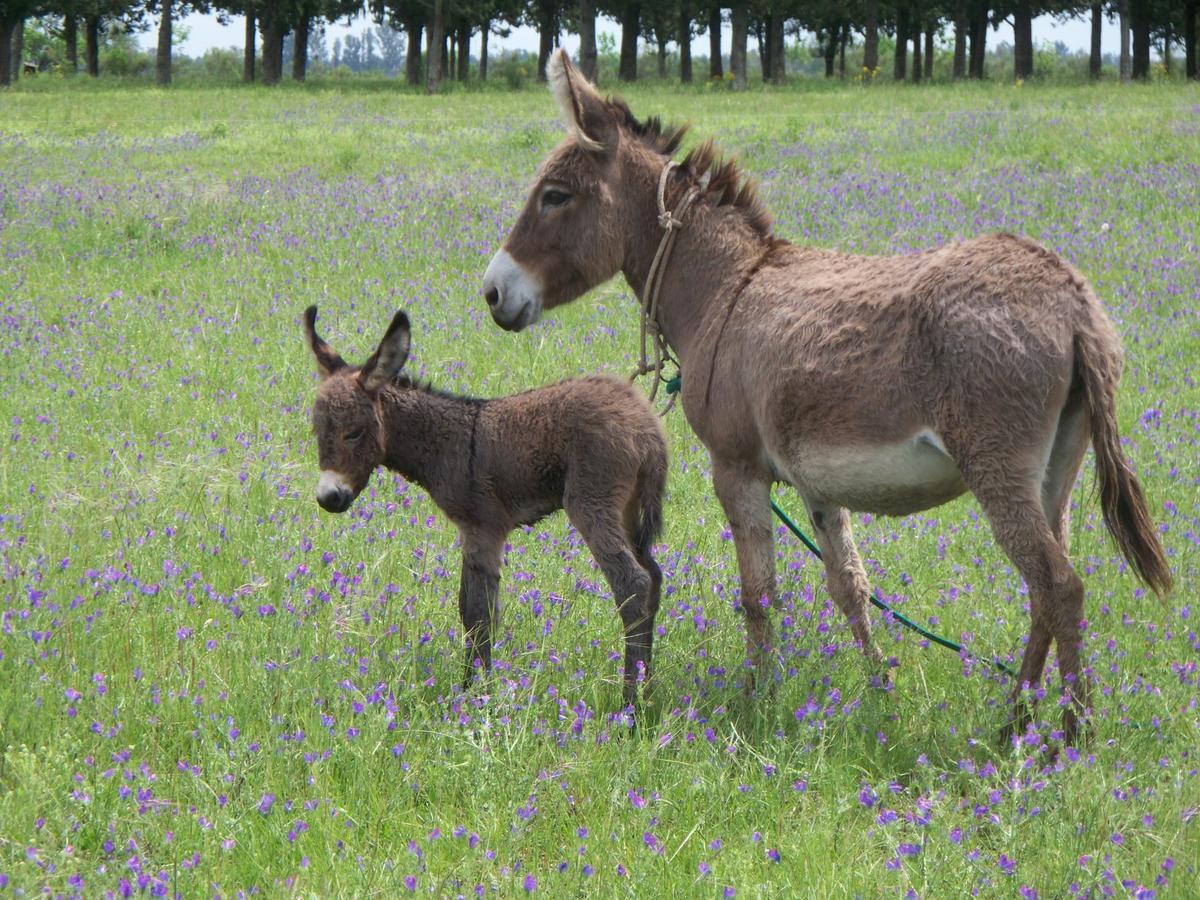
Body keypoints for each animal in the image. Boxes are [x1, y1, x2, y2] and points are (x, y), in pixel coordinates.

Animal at [302, 309, 667, 710]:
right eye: (317, 431)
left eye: (353, 433)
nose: (328, 498)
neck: (446, 441)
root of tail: (644, 424)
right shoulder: (476, 532)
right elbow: (471, 608)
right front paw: (471, 688)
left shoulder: (483, 528)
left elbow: (477, 614)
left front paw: (476, 696)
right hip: (628, 508)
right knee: (654, 577)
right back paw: (648, 690)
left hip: (592, 502)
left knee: (632, 583)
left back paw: (629, 706)